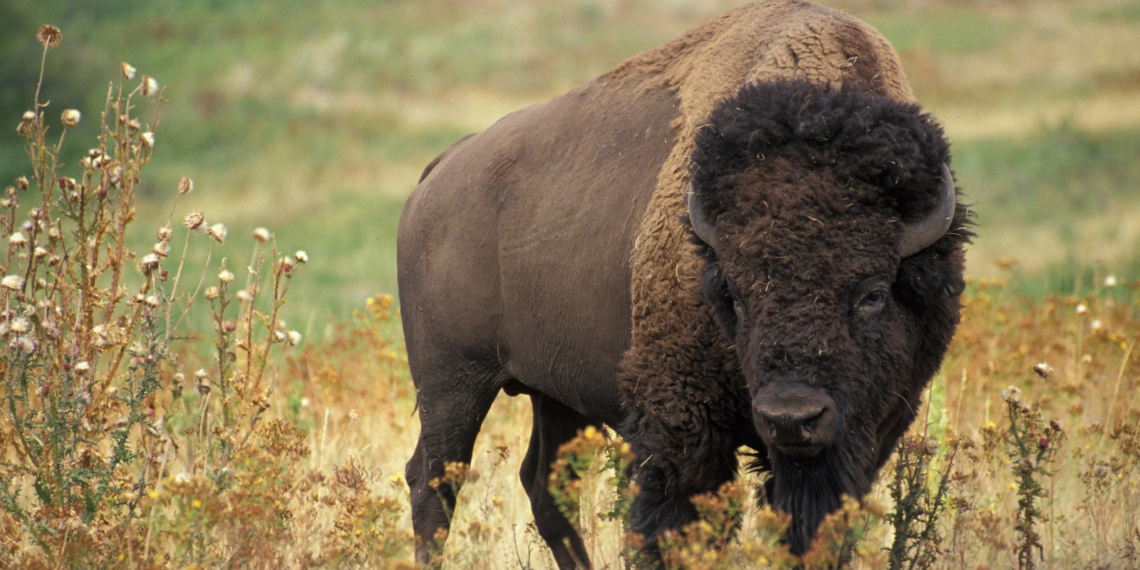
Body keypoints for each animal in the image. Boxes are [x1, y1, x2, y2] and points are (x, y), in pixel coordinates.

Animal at [397, 0, 970, 567]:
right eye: (735, 295)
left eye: (873, 294)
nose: (791, 418)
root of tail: (438, 173)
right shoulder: (681, 426)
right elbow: (675, 523)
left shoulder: (867, 434)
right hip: (453, 382)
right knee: (433, 484)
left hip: (554, 392)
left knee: (544, 487)